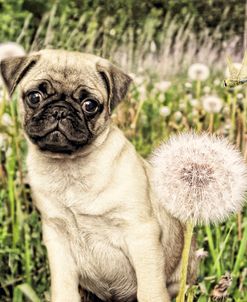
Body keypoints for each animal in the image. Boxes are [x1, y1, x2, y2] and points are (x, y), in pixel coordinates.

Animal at [0, 50, 197, 302]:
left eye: (90, 105)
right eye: (34, 97)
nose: (60, 110)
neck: (70, 167)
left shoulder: (142, 235)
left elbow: (150, 289)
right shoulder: (57, 239)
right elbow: (64, 287)